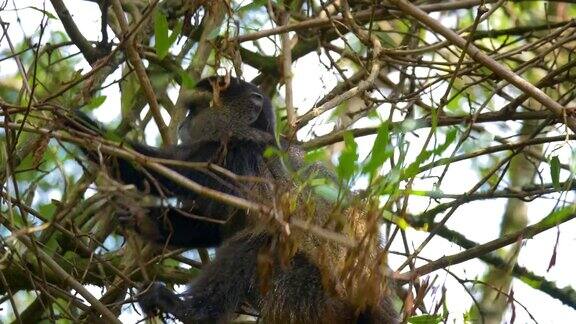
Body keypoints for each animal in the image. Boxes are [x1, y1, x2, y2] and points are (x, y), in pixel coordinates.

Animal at [70, 76, 398, 324]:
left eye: (197, 110)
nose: (182, 125)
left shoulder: (233, 155)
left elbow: (167, 174)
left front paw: (78, 125)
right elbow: (213, 223)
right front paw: (145, 221)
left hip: (309, 290)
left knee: (257, 244)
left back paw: (190, 311)